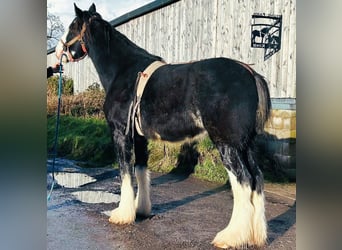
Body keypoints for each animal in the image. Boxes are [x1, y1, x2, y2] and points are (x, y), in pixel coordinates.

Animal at [55, 3, 270, 248]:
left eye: (72, 26)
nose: (59, 51)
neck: (124, 70)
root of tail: (250, 74)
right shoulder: (139, 137)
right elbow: (140, 170)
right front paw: (140, 210)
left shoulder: (121, 133)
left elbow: (125, 172)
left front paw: (122, 214)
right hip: (245, 145)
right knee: (256, 178)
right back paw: (255, 235)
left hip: (227, 144)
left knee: (243, 181)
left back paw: (230, 237)